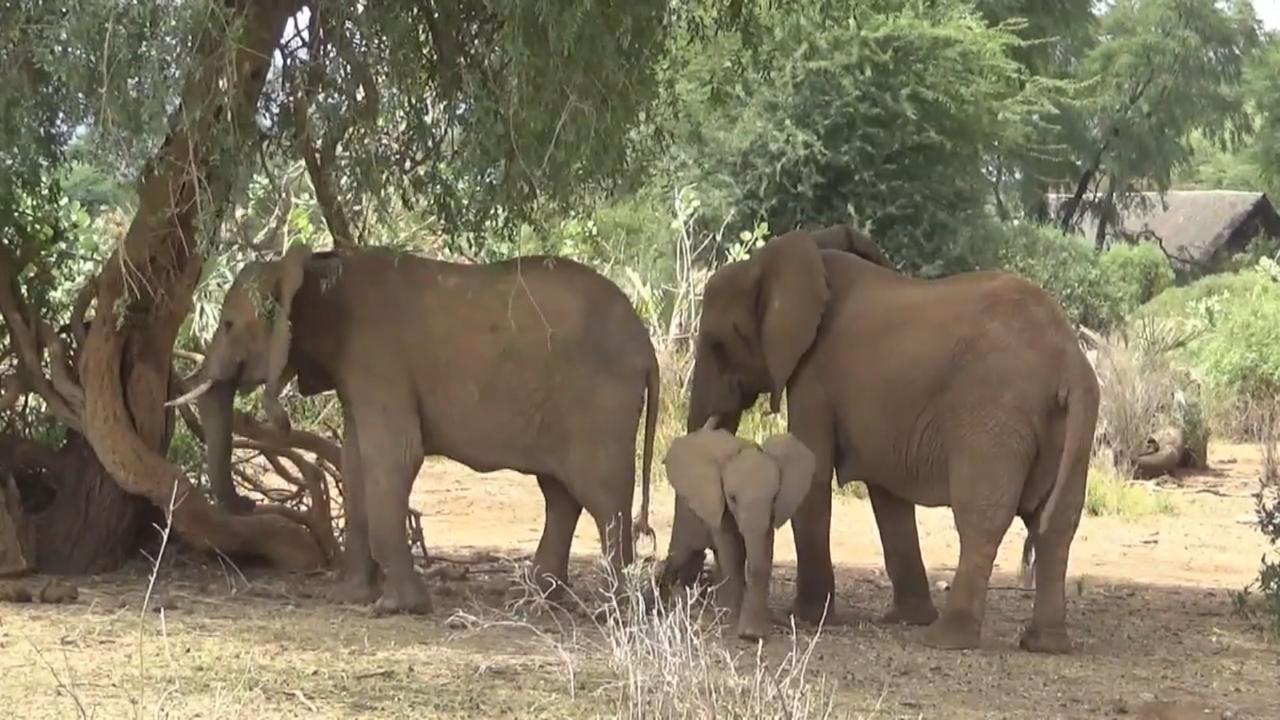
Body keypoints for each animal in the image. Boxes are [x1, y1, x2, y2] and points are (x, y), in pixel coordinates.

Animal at [170, 243, 660, 614]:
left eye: (228, 325)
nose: (250, 503)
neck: (315, 271)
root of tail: (647, 346)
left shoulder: (377, 358)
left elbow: (394, 457)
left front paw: (397, 608)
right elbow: (355, 459)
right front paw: (351, 598)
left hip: (601, 401)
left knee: (602, 496)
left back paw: (615, 611)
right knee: (560, 494)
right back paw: (538, 602)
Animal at [665, 420, 814, 638]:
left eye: (774, 498)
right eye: (733, 498)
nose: (749, 634)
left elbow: (764, 549)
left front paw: (753, 632)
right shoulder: (717, 500)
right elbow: (731, 549)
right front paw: (732, 620)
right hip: (685, 507)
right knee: (681, 553)